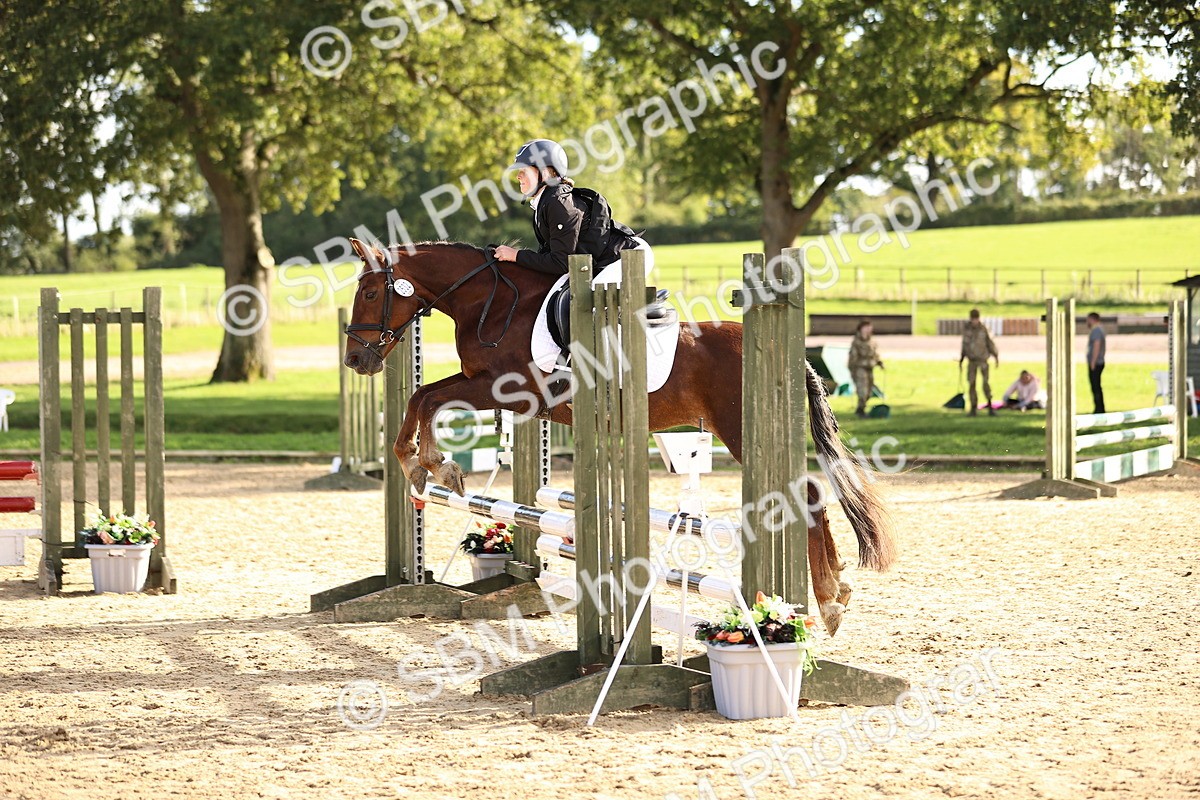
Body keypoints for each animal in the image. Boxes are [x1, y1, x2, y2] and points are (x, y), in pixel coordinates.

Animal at [342, 238, 895, 635]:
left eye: (370, 293)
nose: (355, 360)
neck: (495, 302)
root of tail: (788, 353)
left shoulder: (506, 390)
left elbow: (426, 399)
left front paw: (431, 464)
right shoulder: (484, 384)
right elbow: (423, 396)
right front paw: (424, 465)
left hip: (741, 432)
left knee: (806, 494)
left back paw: (826, 601)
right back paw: (834, 591)